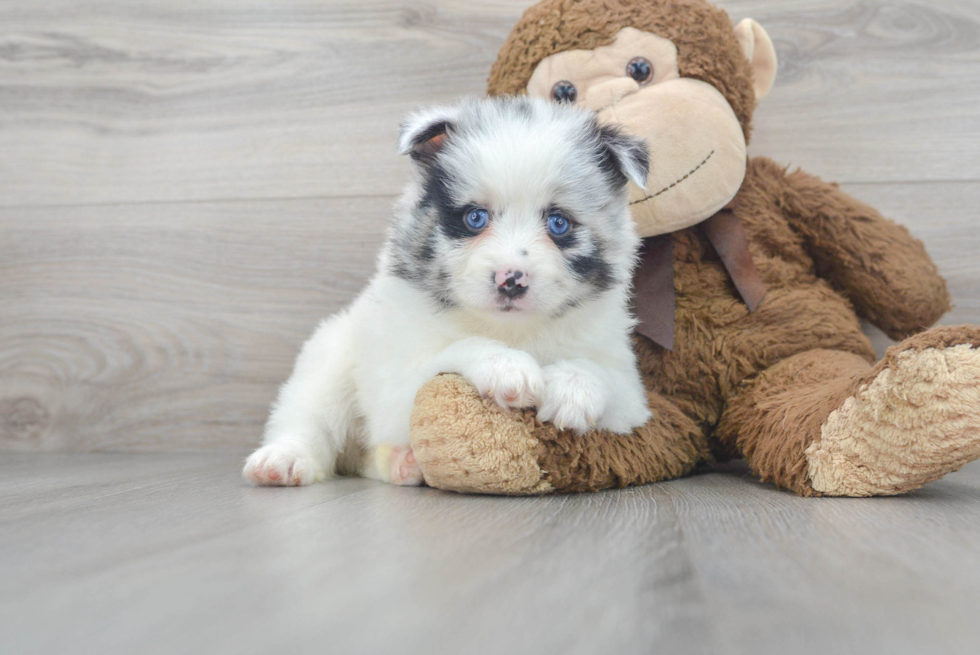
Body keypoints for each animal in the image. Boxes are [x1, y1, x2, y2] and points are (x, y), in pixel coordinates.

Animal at [244, 97, 652, 486]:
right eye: (475, 218)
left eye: (558, 223)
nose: (511, 280)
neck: (512, 329)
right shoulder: (395, 385)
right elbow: (454, 351)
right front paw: (506, 366)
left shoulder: (634, 398)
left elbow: (603, 375)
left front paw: (572, 388)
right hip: (329, 361)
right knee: (308, 418)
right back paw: (283, 459)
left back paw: (403, 466)